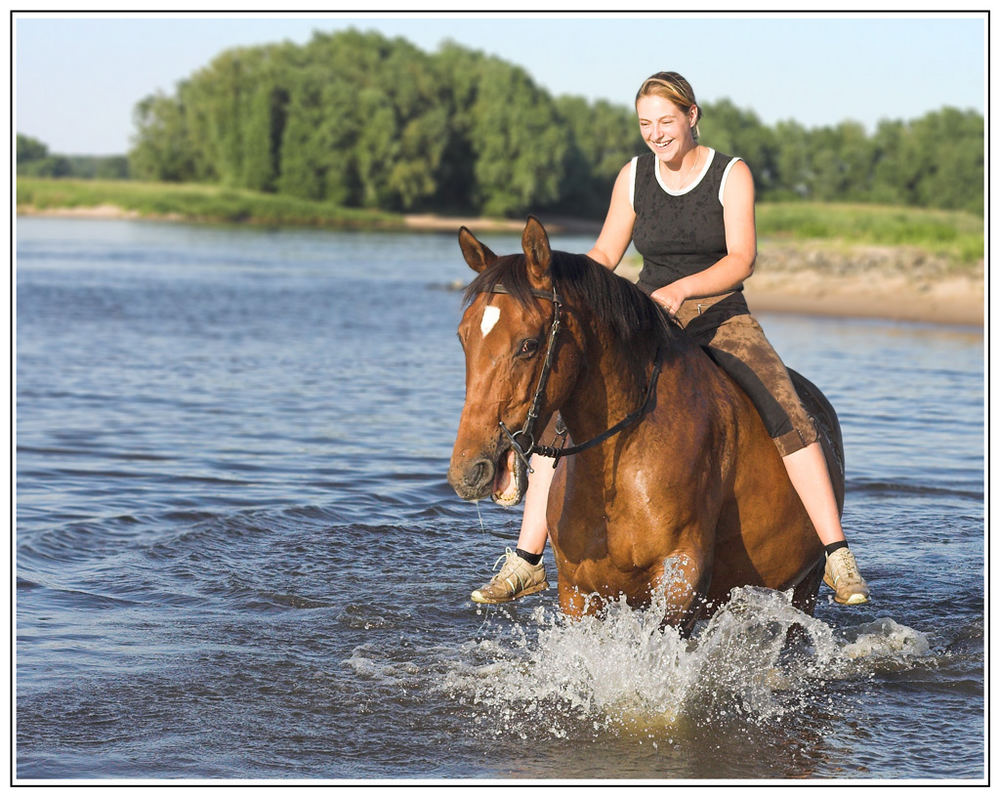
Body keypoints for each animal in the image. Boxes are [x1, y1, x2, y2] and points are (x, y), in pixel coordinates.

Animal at [448, 218, 844, 636]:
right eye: (463, 337)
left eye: (528, 345)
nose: (469, 471)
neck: (622, 458)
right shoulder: (577, 592)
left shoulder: (682, 582)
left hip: (806, 586)